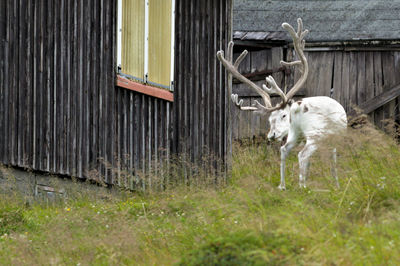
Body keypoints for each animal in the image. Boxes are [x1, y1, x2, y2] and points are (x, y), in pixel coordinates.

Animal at [216, 18, 346, 189]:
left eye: (283, 116)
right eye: (270, 119)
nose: (271, 135)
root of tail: (299, 107)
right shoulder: (335, 138)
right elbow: (333, 161)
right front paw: (336, 185)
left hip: (296, 134)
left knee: (284, 150)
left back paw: (283, 185)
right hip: (315, 134)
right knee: (302, 155)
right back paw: (302, 187)